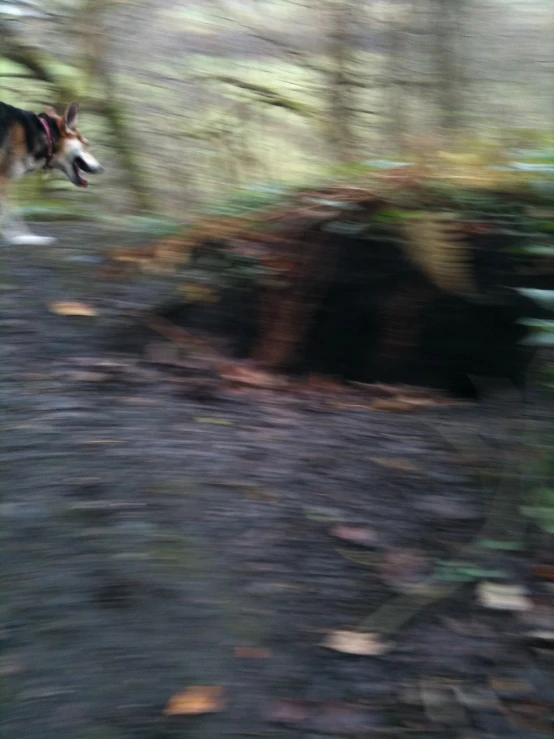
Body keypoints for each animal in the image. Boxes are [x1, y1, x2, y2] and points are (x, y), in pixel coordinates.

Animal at [0, 102, 102, 246]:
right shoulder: (3, 179)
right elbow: (13, 215)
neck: (46, 135)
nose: (101, 169)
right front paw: (24, 237)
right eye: (86, 144)